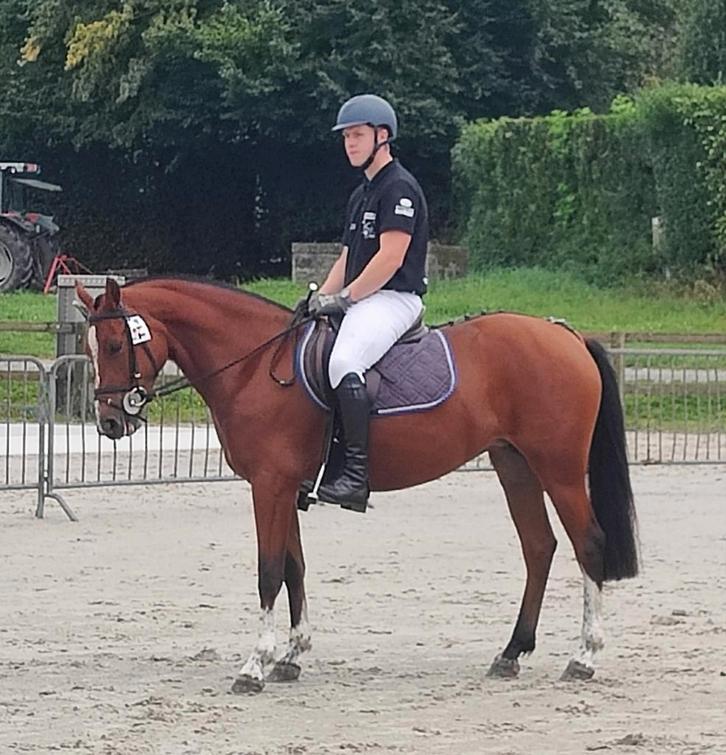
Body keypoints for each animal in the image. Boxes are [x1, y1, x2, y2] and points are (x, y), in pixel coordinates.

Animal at [75, 276, 638, 694]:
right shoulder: (284, 486)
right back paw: (511, 652)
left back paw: (584, 657)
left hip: (558, 469)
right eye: (90, 347)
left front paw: (255, 665)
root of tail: (565, 334)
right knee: (539, 547)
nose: (110, 423)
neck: (255, 365)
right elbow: (294, 569)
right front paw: (291, 656)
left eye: (114, 343)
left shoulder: (269, 486)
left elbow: (268, 571)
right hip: (514, 463)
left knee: (588, 543)